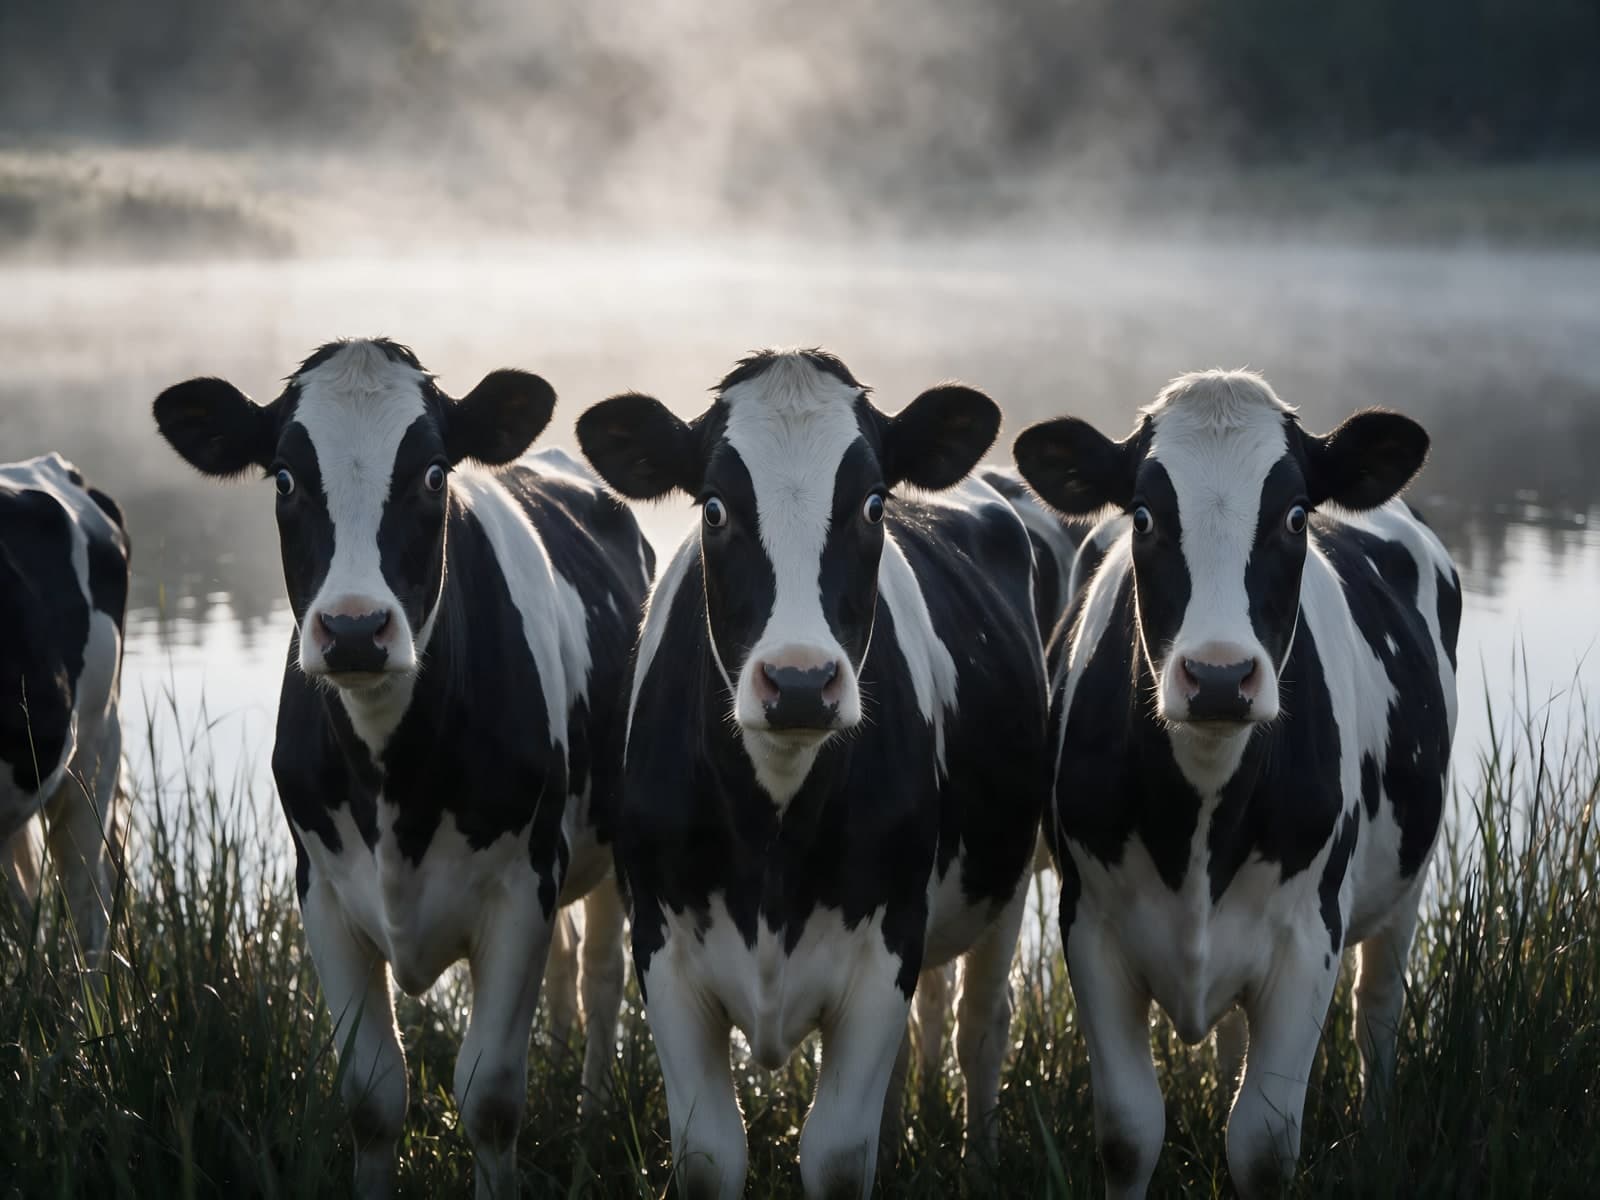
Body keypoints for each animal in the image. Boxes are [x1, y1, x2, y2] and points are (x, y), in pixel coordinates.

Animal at [152, 338, 653, 1199]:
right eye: (284, 478)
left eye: (433, 473)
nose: (355, 629)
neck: (392, 780)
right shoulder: (322, 891)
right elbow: (373, 1098)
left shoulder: (520, 887)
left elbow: (489, 1098)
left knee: (600, 975)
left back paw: (589, 1116)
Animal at [576, 348, 1050, 1200]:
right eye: (714, 509)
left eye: (872, 503)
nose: (799, 681)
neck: (774, 828)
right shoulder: (663, 955)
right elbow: (710, 1155)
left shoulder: (885, 950)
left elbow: (835, 1153)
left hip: (1009, 877)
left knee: (981, 1028)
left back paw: (980, 1161)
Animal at [1013, 369, 1460, 1197]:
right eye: (1145, 516)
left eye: (1294, 515)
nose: (1219, 677)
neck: (1202, 812)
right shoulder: (1090, 930)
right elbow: (1129, 1134)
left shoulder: (1310, 939)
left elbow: (1262, 1144)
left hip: (1406, 886)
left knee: (1378, 1008)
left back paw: (1377, 1131)